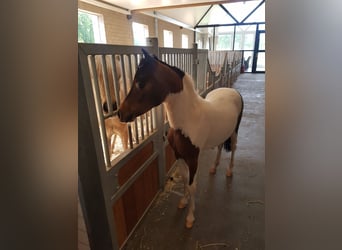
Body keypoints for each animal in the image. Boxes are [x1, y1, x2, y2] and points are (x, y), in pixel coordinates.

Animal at [117, 48, 243, 229]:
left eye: (140, 83)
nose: (121, 113)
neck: (188, 120)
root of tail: (233, 91)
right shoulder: (179, 156)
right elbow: (184, 180)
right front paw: (183, 202)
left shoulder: (193, 159)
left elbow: (192, 185)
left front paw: (190, 217)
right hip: (222, 134)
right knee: (220, 147)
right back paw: (213, 167)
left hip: (234, 133)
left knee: (233, 149)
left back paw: (229, 171)